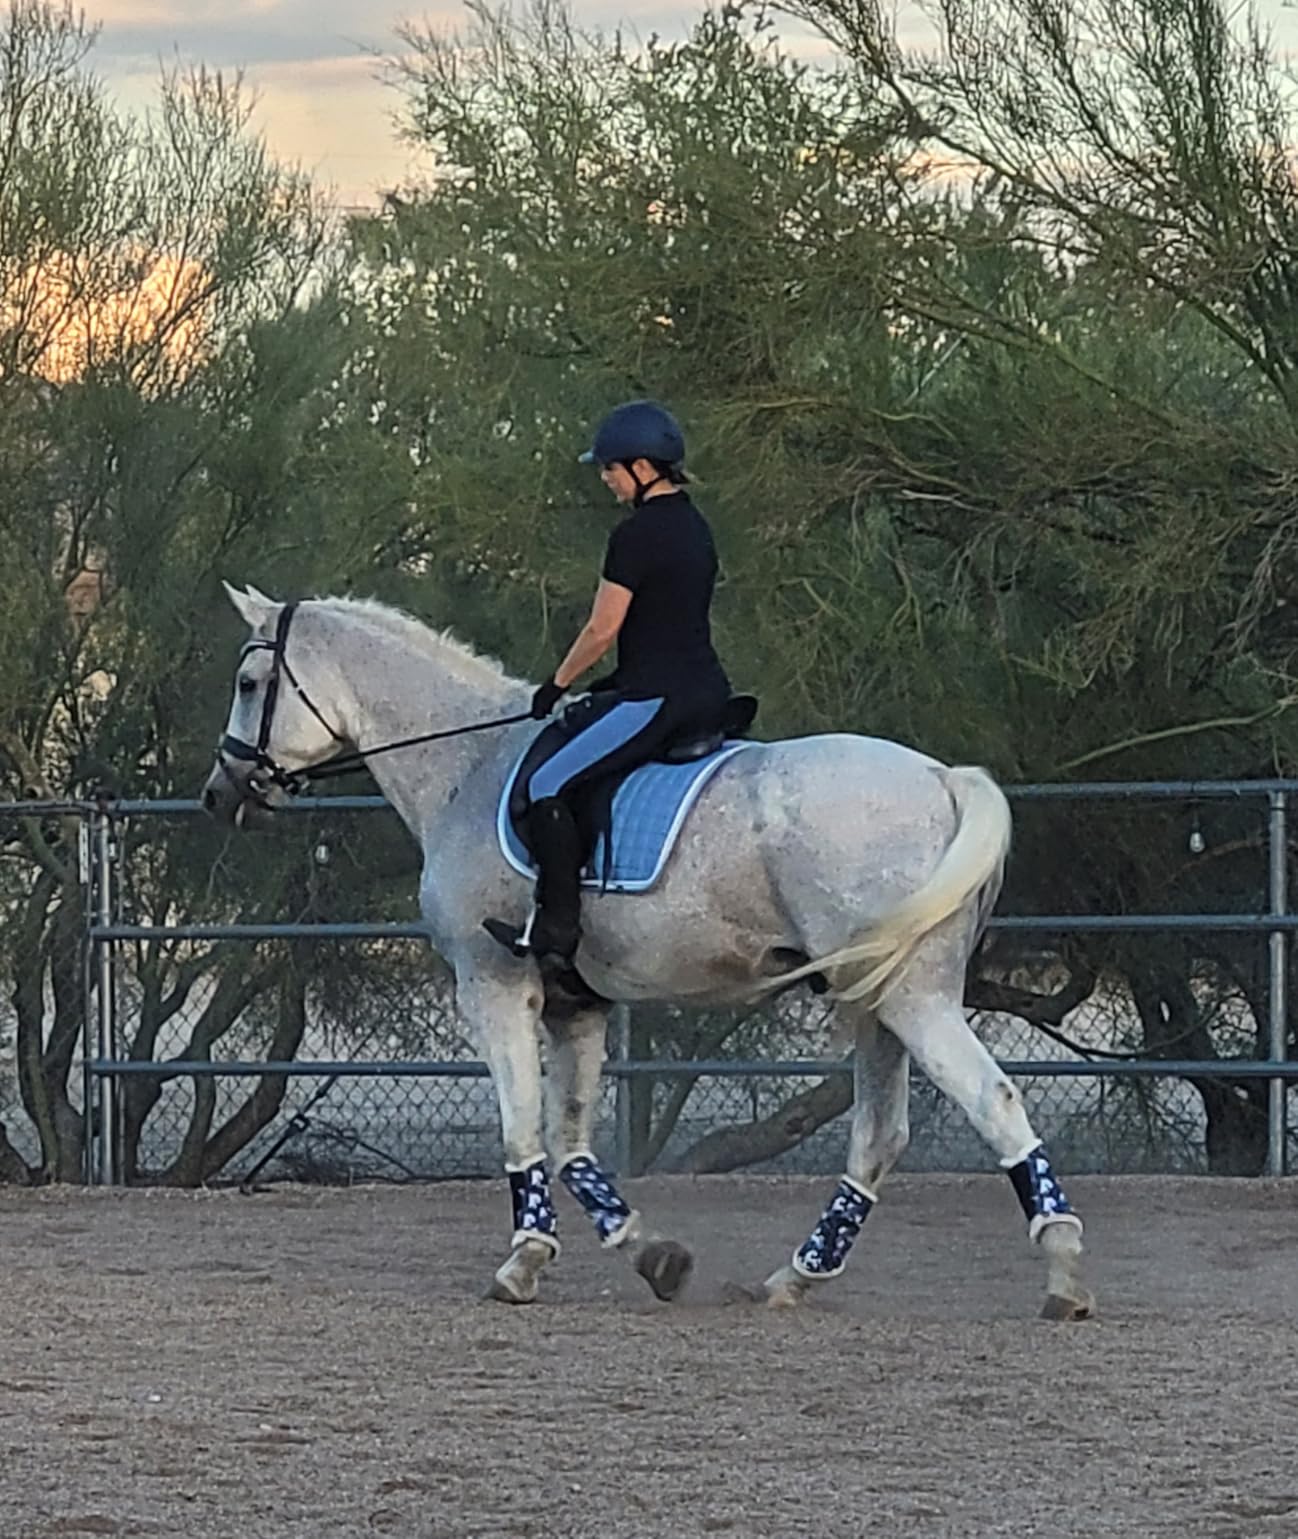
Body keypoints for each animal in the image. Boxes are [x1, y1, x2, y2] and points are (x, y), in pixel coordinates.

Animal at [202, 584, 1092, 1320]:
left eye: (248, 684)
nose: (221, 793)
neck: (470, 764)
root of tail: (944, 777)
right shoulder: (577, 1003)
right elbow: (569, 1142)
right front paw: (649, 1254)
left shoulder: (493, 986)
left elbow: (522, 1130)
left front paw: (520, 1265)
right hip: (872, 1001)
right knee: (879, 1136)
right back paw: (792, 1279)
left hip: (912, 997)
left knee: (992, 1101)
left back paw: (1064, 1274)